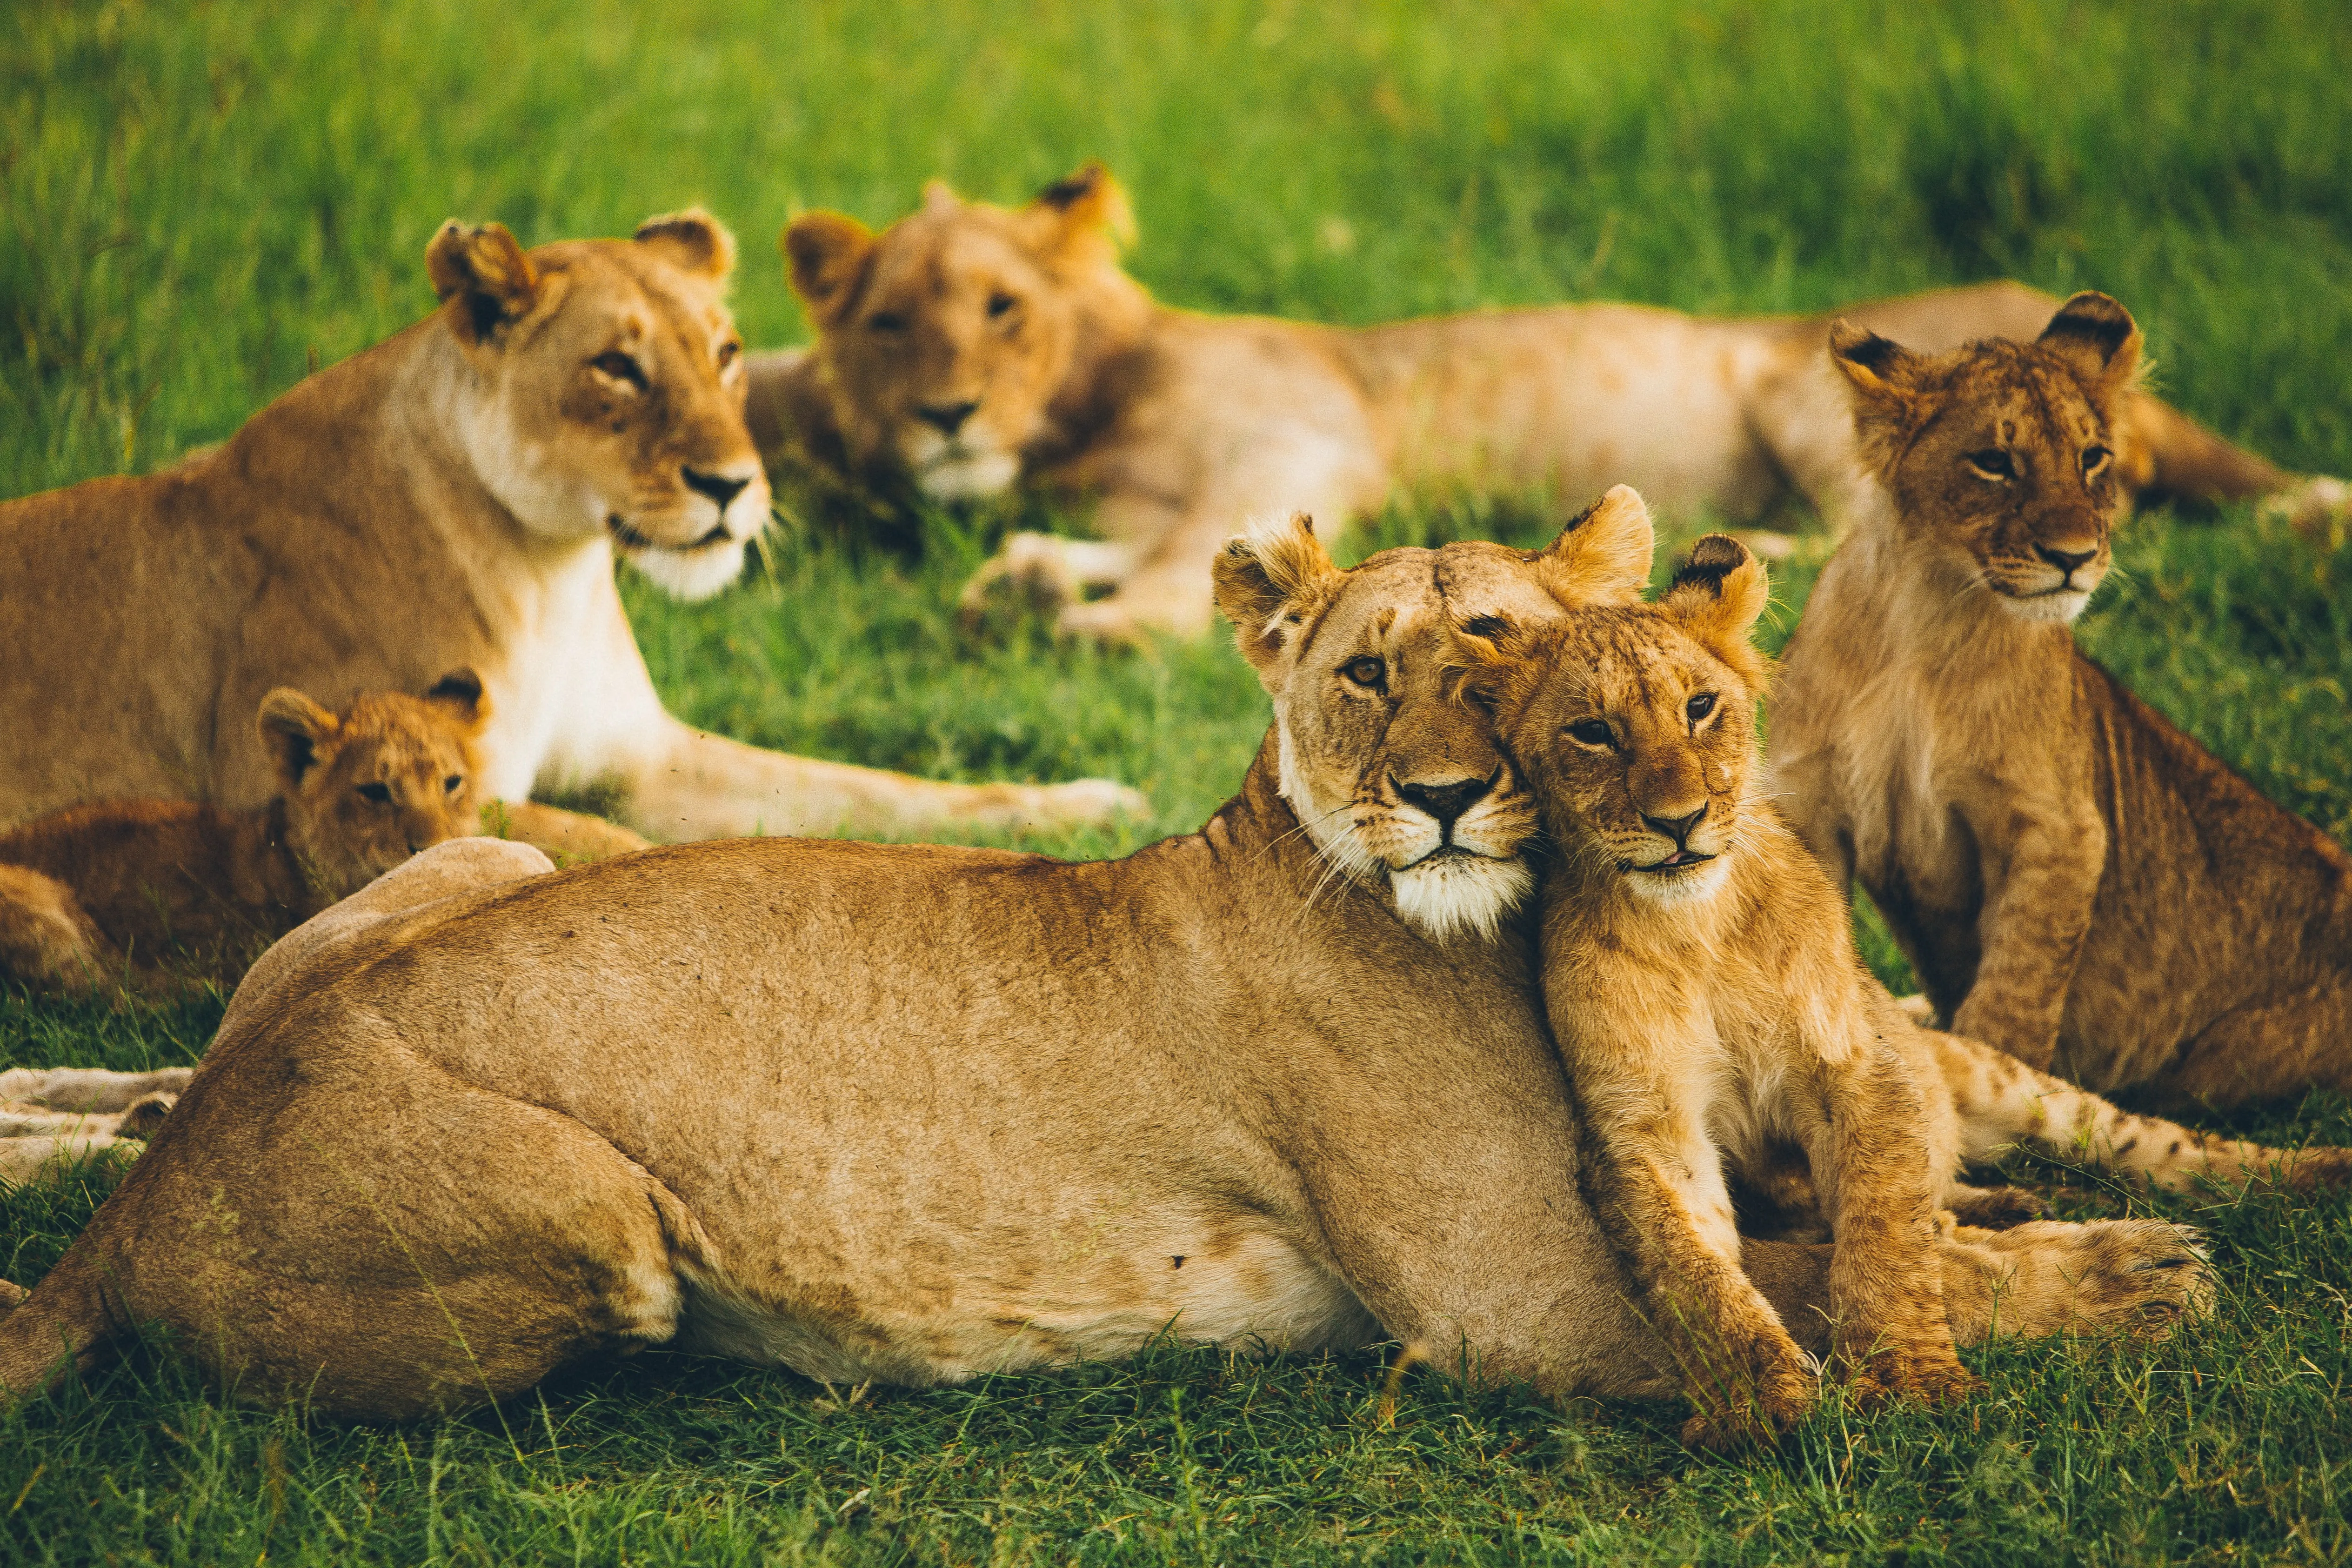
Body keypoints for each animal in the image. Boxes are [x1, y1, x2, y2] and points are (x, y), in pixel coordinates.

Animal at [1458, 491, 2342, 1448]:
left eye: (1700, 707)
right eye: (1592, 732)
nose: (1679, 820)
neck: (1695, 926)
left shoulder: (1858, 1064)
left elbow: (1883, 1230)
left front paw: (1908, 1377)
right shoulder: (1642, 1127)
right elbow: (1695, 1273)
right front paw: (1755, 1403)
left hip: (2002, 1076)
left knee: (2163, 1145)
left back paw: (2312, 1173)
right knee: (1941, 1197)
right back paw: (2005, 1209)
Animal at [1769, 291, 2352, 1105]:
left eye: (2093, 457)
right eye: (1994, 461)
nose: (2075, 557)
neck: (1924, 617)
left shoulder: (2059, 826)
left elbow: (2015, 990)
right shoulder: (1810, 805)